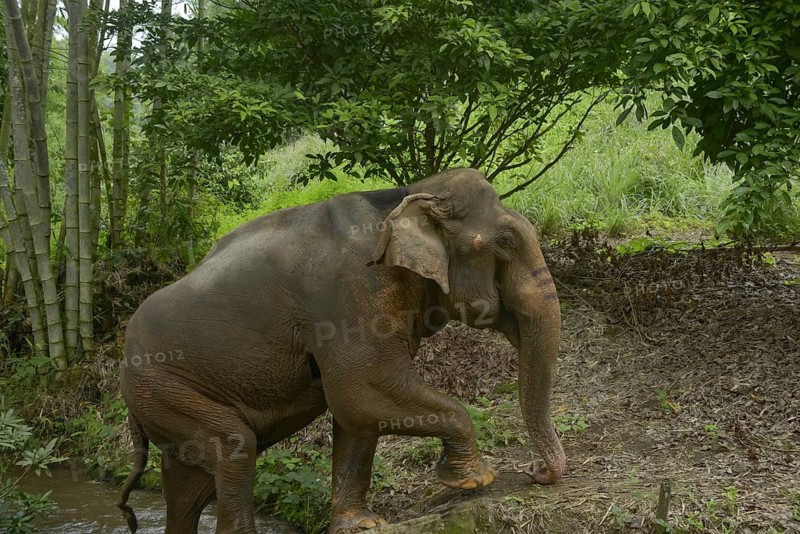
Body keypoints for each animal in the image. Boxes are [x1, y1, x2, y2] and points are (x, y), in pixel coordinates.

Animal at [117, 167, 564, 533]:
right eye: (505, 242)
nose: (535, 470)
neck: (404, 195)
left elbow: (358, 417)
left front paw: (361, 524)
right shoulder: (348, 298)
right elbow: (360, 391)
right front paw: (476, 479)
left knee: (188, 487)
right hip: (161, 385)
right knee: (233, 448)